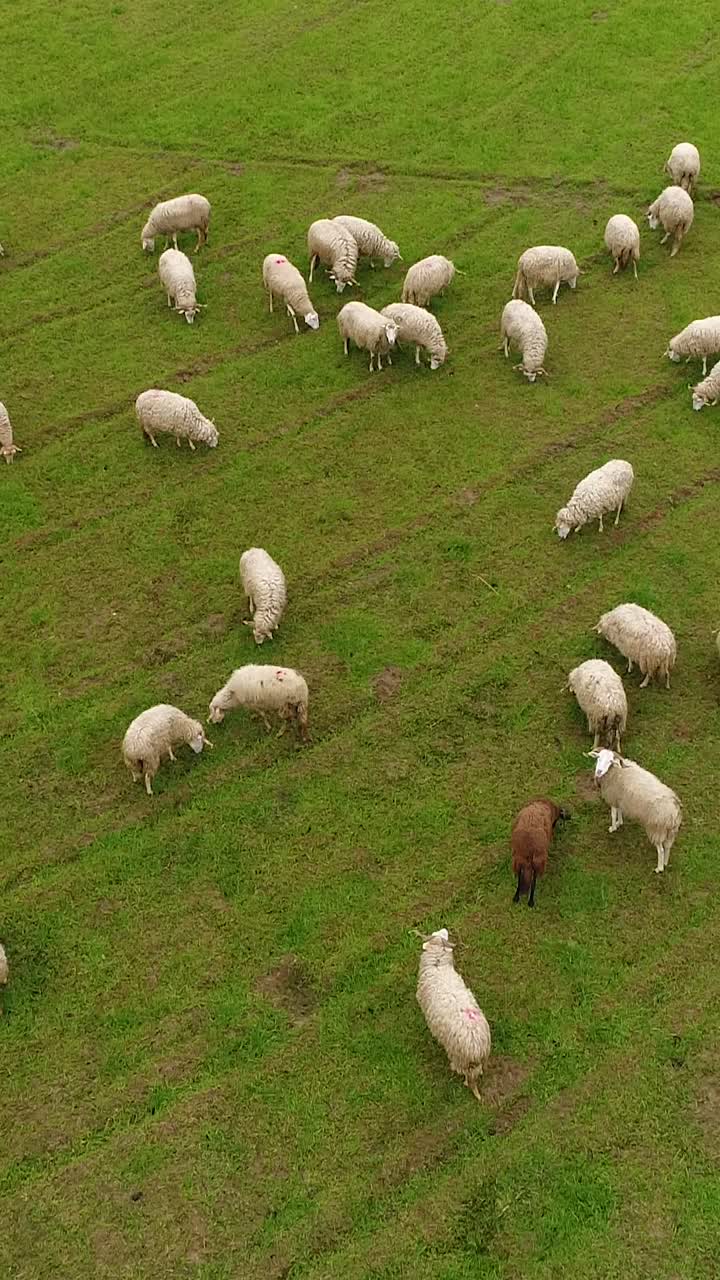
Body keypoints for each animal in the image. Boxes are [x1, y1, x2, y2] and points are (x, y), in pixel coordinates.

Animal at [416, 928, 491, 1100]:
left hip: (459, 1057)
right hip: (479, 1060)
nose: (444, 929)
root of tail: (476, 1046)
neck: (437, 965)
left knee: (466, 1074)